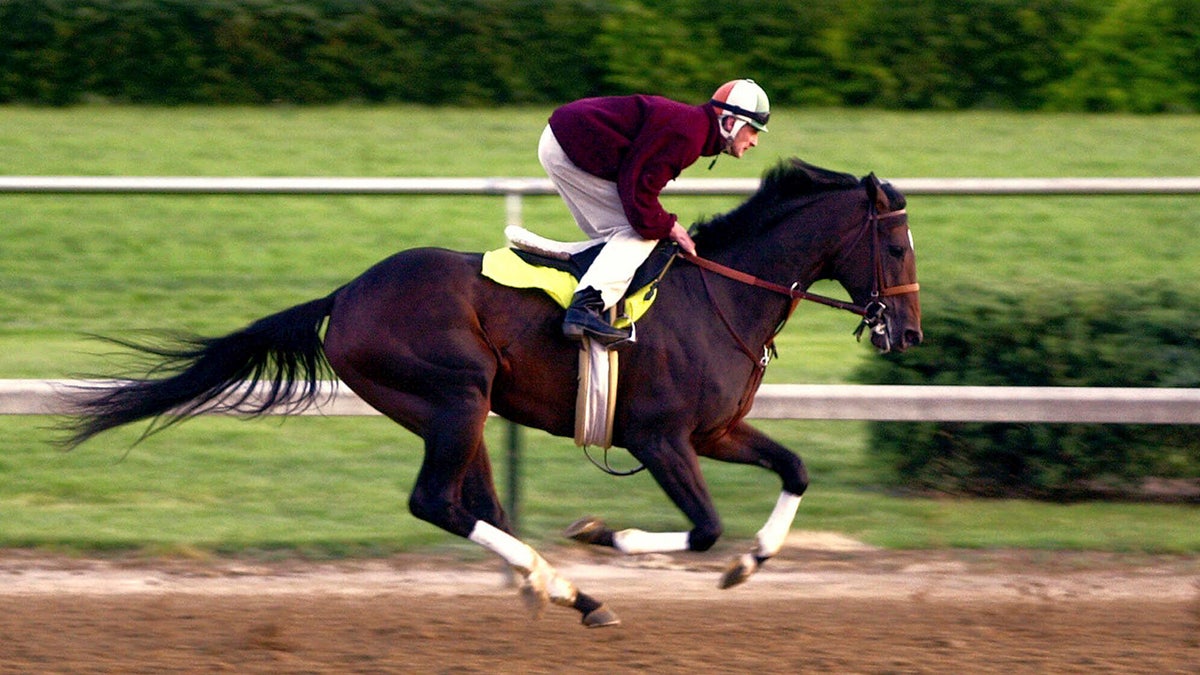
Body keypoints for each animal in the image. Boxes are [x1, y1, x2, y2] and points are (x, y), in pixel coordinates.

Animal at [65, 157, 921, 624]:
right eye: (898, 244)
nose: (907, 332)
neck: (721, 294)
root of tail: (346, 294)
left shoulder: (715, 431)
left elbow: (795, 469)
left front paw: (753, 563)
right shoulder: (659, 437)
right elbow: (705, 526)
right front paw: (600, 532)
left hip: (460, 409)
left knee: (476, 504)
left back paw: (563, 589)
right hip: (455, 394)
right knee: (437, 502)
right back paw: (564, 580)